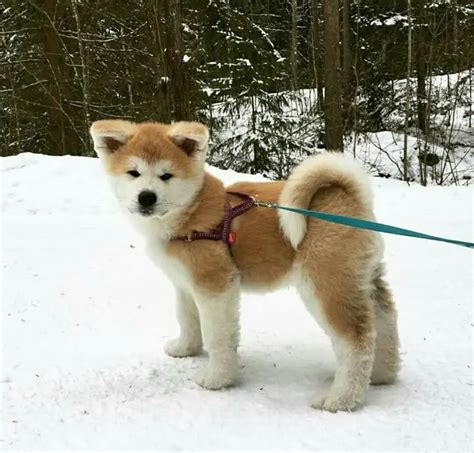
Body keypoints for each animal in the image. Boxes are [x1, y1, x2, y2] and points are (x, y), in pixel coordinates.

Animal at [90, 119, 400, 410]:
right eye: (134, 173)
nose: (146, 197)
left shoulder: (216, 285)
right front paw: (186, 348)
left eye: (166, 175)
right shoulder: (185, 284)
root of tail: (349, 197)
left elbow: (217, 335)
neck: (189, 213)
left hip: (327, 283)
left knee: (356, 339)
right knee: (382, 322)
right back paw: (381, 375)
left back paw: (341, 399)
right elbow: (187, 319)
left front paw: (217, 378)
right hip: (362, 279)